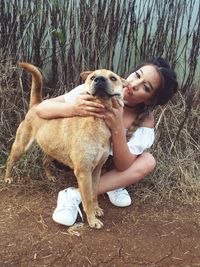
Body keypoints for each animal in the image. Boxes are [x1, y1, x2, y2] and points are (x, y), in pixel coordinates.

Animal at [4, 62, 125, 228]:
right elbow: (87, 199)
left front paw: (96, 209)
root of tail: (36, 105)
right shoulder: (83, 172)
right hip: (21, 146)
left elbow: (94, 194)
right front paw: (92, 220)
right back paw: (8, 178)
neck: (97, 121)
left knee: (45, 161)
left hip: (51, 149)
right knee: (10, 160)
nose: (99, 79)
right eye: (92, 77)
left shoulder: (96, 170)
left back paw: (50, 176)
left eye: (113, 78)